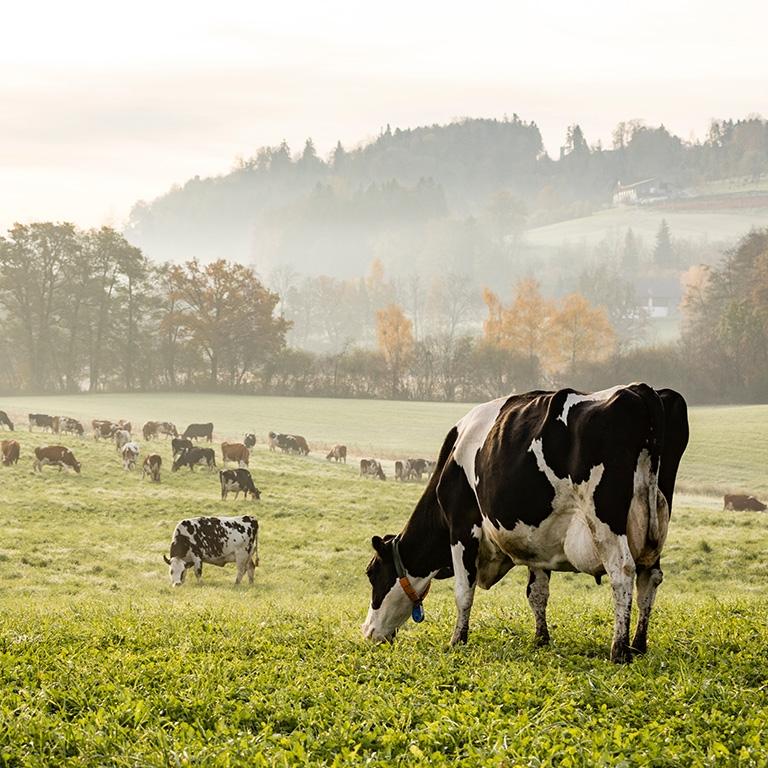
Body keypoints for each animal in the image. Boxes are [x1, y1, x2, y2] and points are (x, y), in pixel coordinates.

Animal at [362, 385, 689, 664]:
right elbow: (537, 593)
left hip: (605, 519)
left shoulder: (462, 527)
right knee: (649, 577)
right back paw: (639, 644)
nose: (368, 632)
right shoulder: (539, 541)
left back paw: (619, 650)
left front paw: (457, 640)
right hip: (655, 523)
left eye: (371, 573)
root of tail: (640, 390)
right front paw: (541, 639)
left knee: (622, 572)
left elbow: (463, 591)